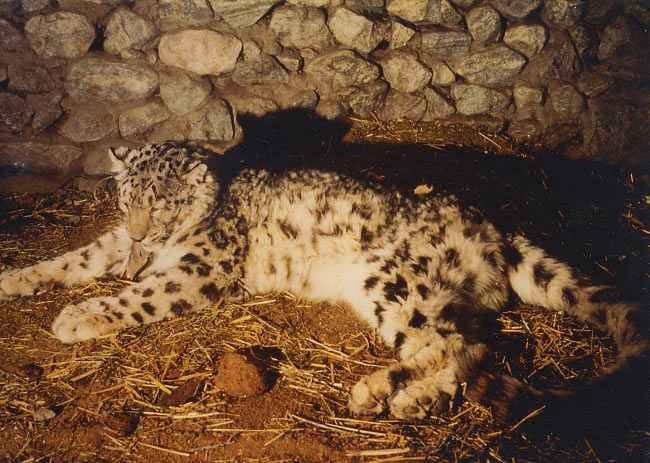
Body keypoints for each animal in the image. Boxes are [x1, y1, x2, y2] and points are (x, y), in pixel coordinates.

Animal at [1, 140, 648, 420]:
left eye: (160, 204)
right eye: (126, 199)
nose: (141, 234)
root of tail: (493, 228)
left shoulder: (200, 269)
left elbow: (139, 294)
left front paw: (77, 316)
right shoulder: (117, 246)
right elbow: (76, 257)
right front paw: (14, 276)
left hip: (393, 282)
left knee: (458, 349)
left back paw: (388, 394)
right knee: (461, 347)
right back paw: (402, 395)